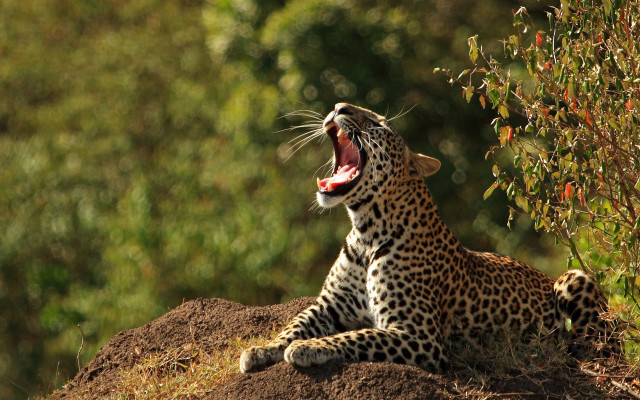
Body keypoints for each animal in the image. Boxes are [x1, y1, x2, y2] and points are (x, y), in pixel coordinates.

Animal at [240, 102, 618, 373]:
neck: (366, 231)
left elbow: (354, 335)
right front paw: (260, 350)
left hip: (574, 279)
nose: (338, 107)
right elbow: (294, 323)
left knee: (600, 340)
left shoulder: (418, 335)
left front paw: (309, 348)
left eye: (379, 124)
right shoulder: (329, 304)